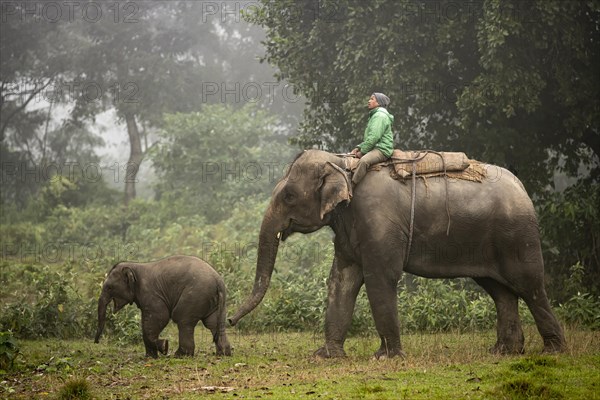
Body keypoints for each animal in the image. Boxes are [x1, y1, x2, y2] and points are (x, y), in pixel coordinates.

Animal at [94, 256, 232, 360]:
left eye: (109, 287)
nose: (96, 342)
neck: (135, 266)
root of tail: (218, 281)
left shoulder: (151, 294)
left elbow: (160, 317)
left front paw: (164, 347)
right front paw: (151, 356)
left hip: (195, 295)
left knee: (183, 320)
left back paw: (180, 355)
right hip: (215, 301)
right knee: (214, 323)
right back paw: (223, 354)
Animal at [227, 150, 564, 360]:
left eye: (288, 196)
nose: (229, 319)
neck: (343, 164)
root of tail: (523, 188)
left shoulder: (379, 222)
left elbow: (380, 278)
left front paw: (385, 357)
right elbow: (341, 280)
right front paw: (326, 356)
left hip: (518, 236)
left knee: (530, 286)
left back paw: (553, 351)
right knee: (500, 291)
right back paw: (504, 352)